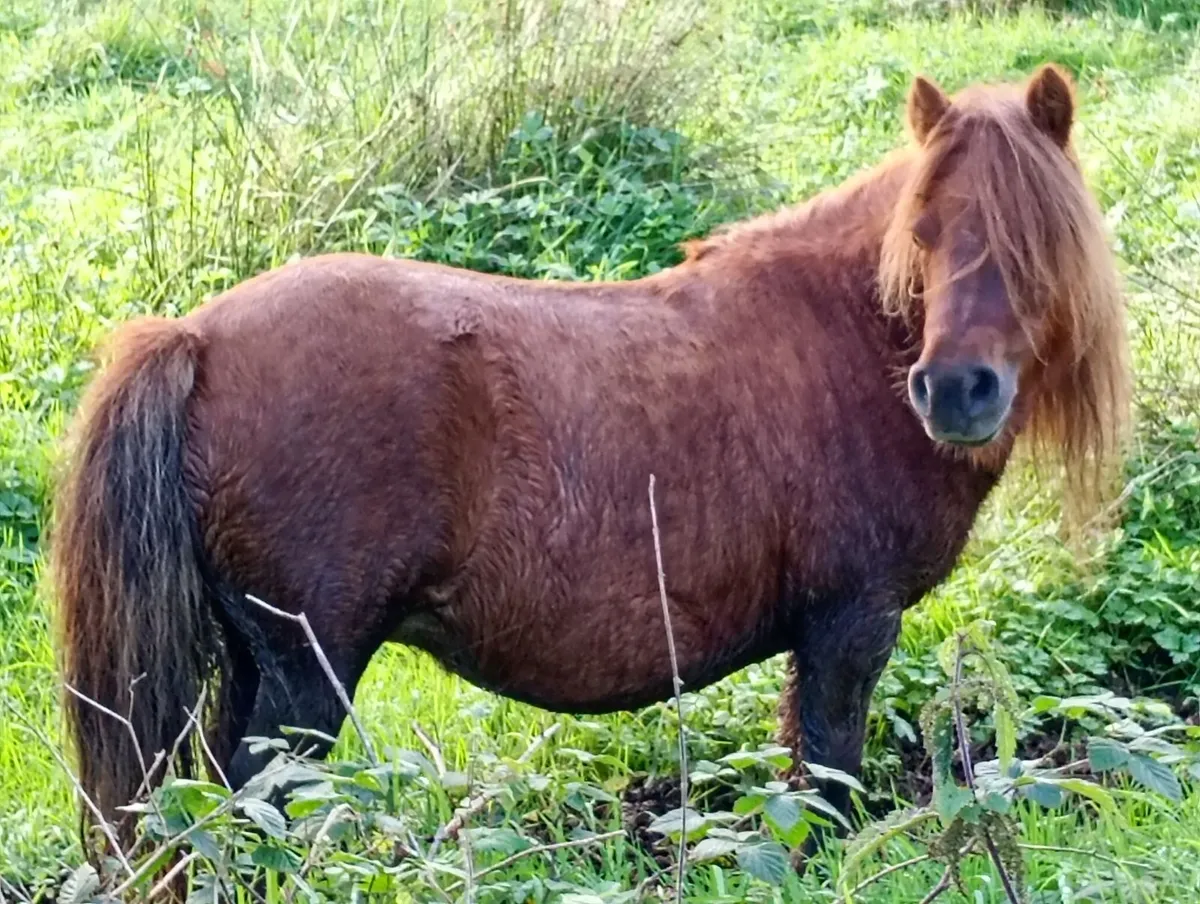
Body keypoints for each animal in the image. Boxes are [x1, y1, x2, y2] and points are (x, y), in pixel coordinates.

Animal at [51, 63, 1129, 853]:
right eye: (925, 231)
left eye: (1037, 237)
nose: (955, 391)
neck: (845, 336)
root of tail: (196, 338)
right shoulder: (850, 625)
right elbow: (826, 774)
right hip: (304, 679)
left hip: (251, 667)